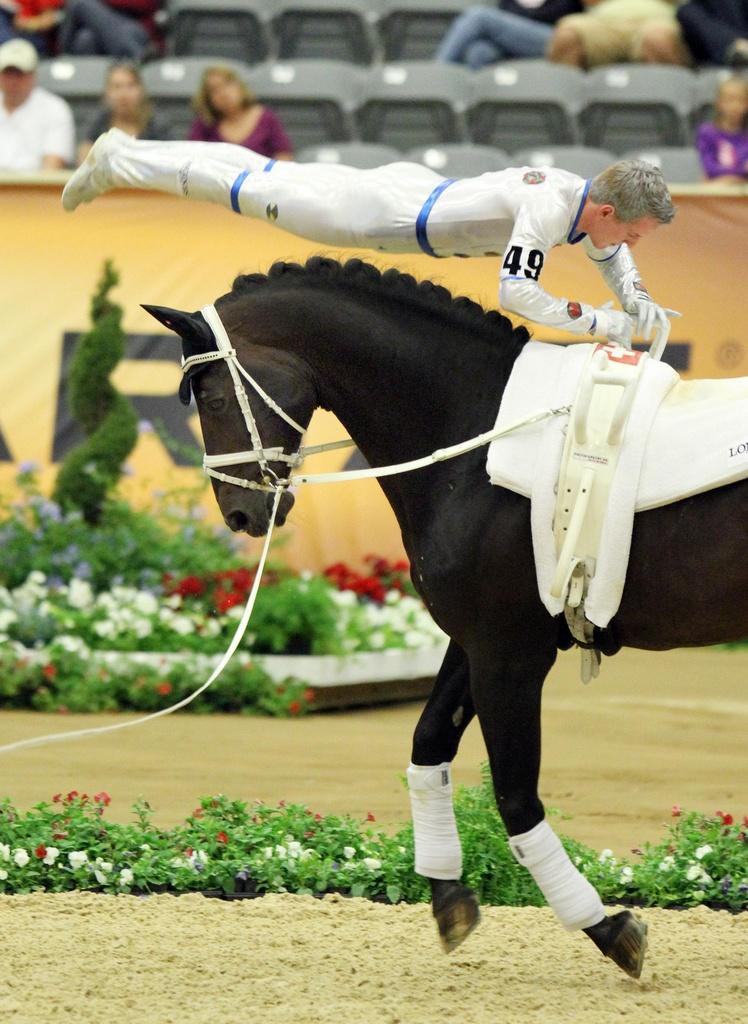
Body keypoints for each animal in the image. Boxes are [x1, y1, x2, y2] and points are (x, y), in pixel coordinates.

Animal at [145, 256, 745, 974]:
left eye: (208, 397)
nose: (239, 515)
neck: (474, 435)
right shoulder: (477, 638)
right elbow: (428, 740)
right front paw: (449, 896)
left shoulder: (509, 653)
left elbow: (514, 794)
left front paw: (608, 927)